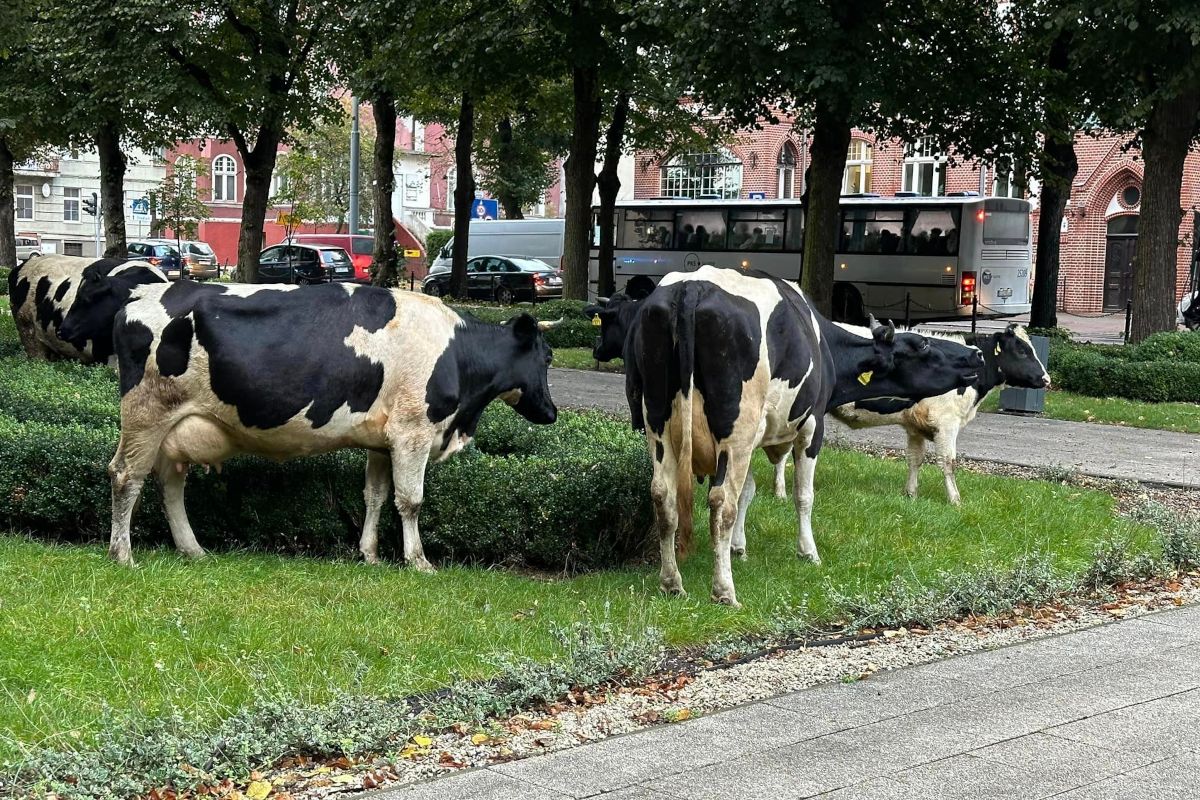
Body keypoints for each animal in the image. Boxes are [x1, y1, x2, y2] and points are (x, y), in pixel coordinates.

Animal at [106, 278, 556, 566]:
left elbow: (375, 496)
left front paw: (369, 554)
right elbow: (410, 500)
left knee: (170, 484)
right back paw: (122, 554)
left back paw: (192, 549)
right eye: (548, 356)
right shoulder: (412, 432)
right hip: (145, 414)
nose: (551, 413)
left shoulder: (383, 440)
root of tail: (139, 295)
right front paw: (418, 560)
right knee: (126, 475)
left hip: (175, 427)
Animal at [624, 266, 979, 604]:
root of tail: (691, 287)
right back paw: (724, 590)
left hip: (658, 424)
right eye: (923, 344)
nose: (975, 352)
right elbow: (802, 495)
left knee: (663, 497)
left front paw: (739, 548)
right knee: (721, 504)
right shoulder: (810, 427)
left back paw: (671, 583)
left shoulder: (754, 440)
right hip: (736, 428)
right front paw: (808, 551)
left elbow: (748, 492)